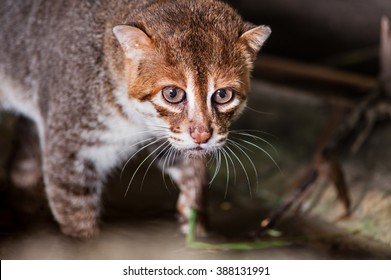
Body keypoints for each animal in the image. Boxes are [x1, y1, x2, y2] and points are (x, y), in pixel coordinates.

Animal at [0, 0, 272, 238]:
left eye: (223, 95)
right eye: (172, 94)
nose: (202, 135)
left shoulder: (166, 133)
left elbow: (189, 165)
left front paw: (195, 219)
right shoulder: (69, 153)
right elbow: (79, 221)